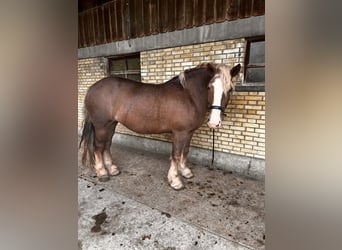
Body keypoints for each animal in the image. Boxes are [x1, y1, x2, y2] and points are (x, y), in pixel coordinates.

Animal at [80, 62, 240, 189]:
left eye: (230, 89)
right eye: (209, 87)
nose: (214, 122)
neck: (189, 95)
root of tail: (92, 88)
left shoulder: (189, 132)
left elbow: (185, 151)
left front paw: (185, 171)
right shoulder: (179, 133)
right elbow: (176, 154)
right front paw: (175, 180)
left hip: (111, 124)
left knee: (107, 145)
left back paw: (112, 169)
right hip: (101, 125)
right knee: (98, 147)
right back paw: (102, 172)